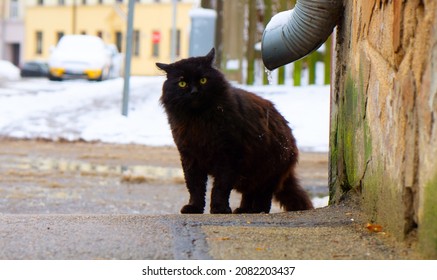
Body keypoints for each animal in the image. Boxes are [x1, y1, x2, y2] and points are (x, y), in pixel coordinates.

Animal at [155, 48, 312, 214]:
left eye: (203, 80)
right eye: (182, 83)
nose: (194, 92)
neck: (198, 119)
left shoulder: (228, 155)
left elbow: (220, 187)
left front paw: (219, 208)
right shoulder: (190, 157)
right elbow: (194, 187)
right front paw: (194, 208)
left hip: (266, 172)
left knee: (263, 197)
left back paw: (257, 211)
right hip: (249, 176)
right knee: (249, 194)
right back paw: (244, 210)